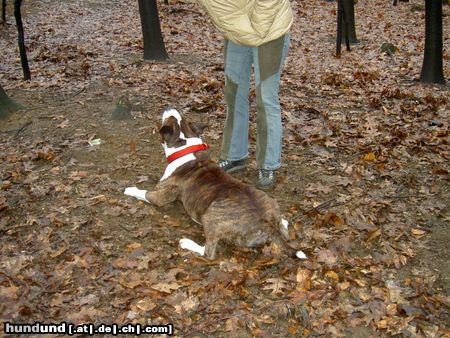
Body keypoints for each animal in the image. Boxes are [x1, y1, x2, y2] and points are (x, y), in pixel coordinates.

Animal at [124, 109, 306, 260]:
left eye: (168, 119)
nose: (169, 108)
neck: (186, 148)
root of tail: (267, 224)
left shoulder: (161, 195)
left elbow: (145, 193)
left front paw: (130, 189)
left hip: (212, 214)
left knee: (208, 253)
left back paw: (187, 243)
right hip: (269, 201)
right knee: (284, 226)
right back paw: (284, 221)